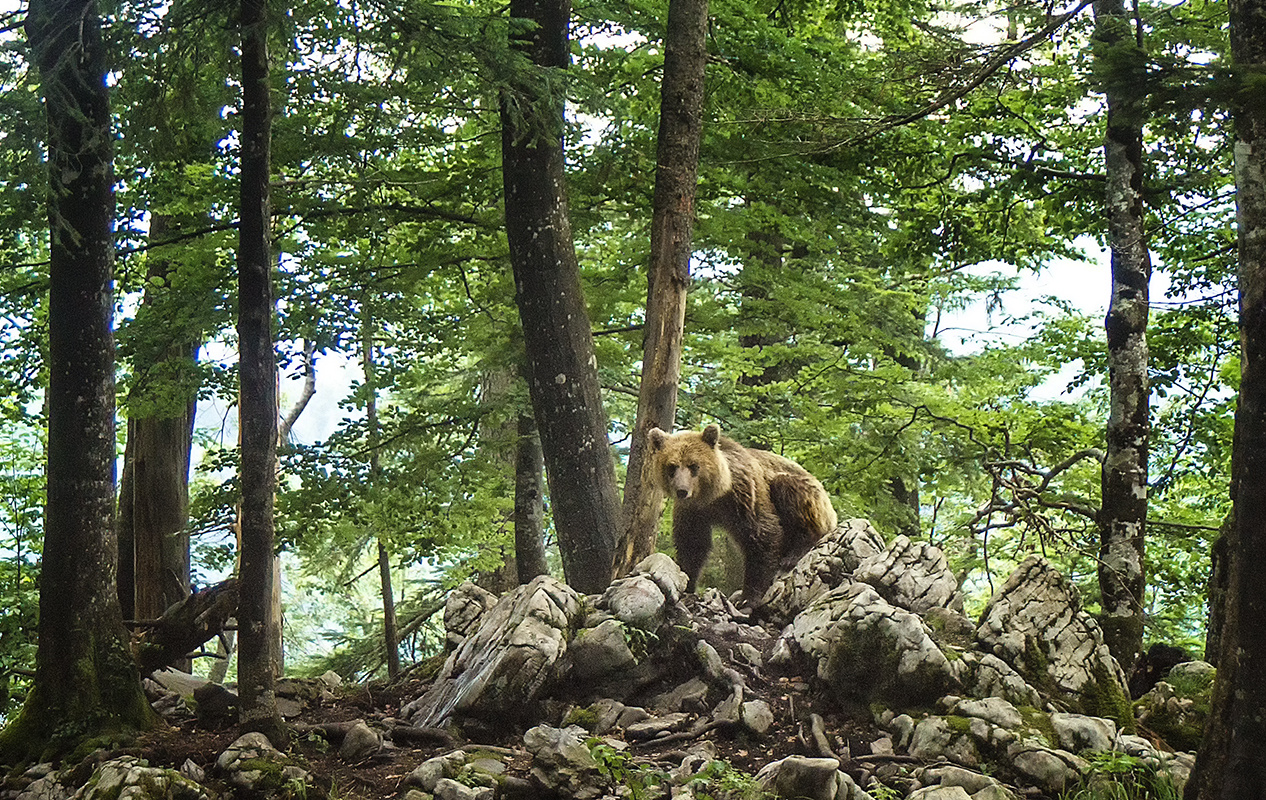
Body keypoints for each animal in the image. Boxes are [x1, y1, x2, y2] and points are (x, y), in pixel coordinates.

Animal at [648, 425, 835, 600]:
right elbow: (692, 544)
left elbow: (763, 534)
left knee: (789, 489)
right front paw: (686, 583)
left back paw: (794, 554)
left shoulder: (744, 495)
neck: (713, 496)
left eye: (693, 465)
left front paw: (749, 598)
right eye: (672, 467)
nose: (682, 490)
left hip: (808, 493)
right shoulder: (693, 510)